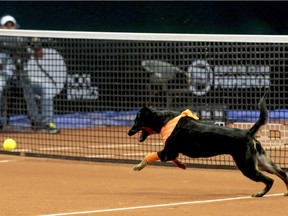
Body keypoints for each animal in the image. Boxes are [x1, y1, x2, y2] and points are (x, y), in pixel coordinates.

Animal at [128, 92, 288, 197]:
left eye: (136, 122)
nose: (129, 132)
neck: (165, 119)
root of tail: (248, 132)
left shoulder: (168, 151)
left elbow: (148, 156)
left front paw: (138, 166)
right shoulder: (171, 152)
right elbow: (174, 159)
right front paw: (181, 164)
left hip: (247, 167)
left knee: (270, 180)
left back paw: (260, 193)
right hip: (262, 162)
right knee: (282, 173)